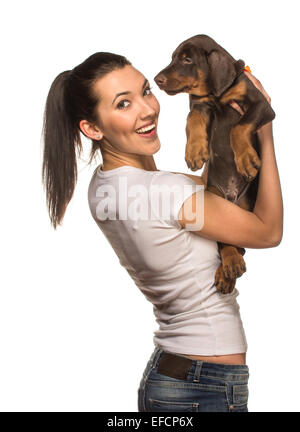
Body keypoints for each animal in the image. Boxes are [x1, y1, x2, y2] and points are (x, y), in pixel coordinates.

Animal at [154, 35, 276, 296]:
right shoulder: (200, 105)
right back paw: (229, 267)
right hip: (214, 198)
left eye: (187, 59)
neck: (217, 94)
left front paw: (246, 160)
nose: (157, 79)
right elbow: (192, 119)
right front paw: (195, 151)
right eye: (173, 57)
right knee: (227, 244)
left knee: (238, 244)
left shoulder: (261, 104)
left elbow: (239, 126)